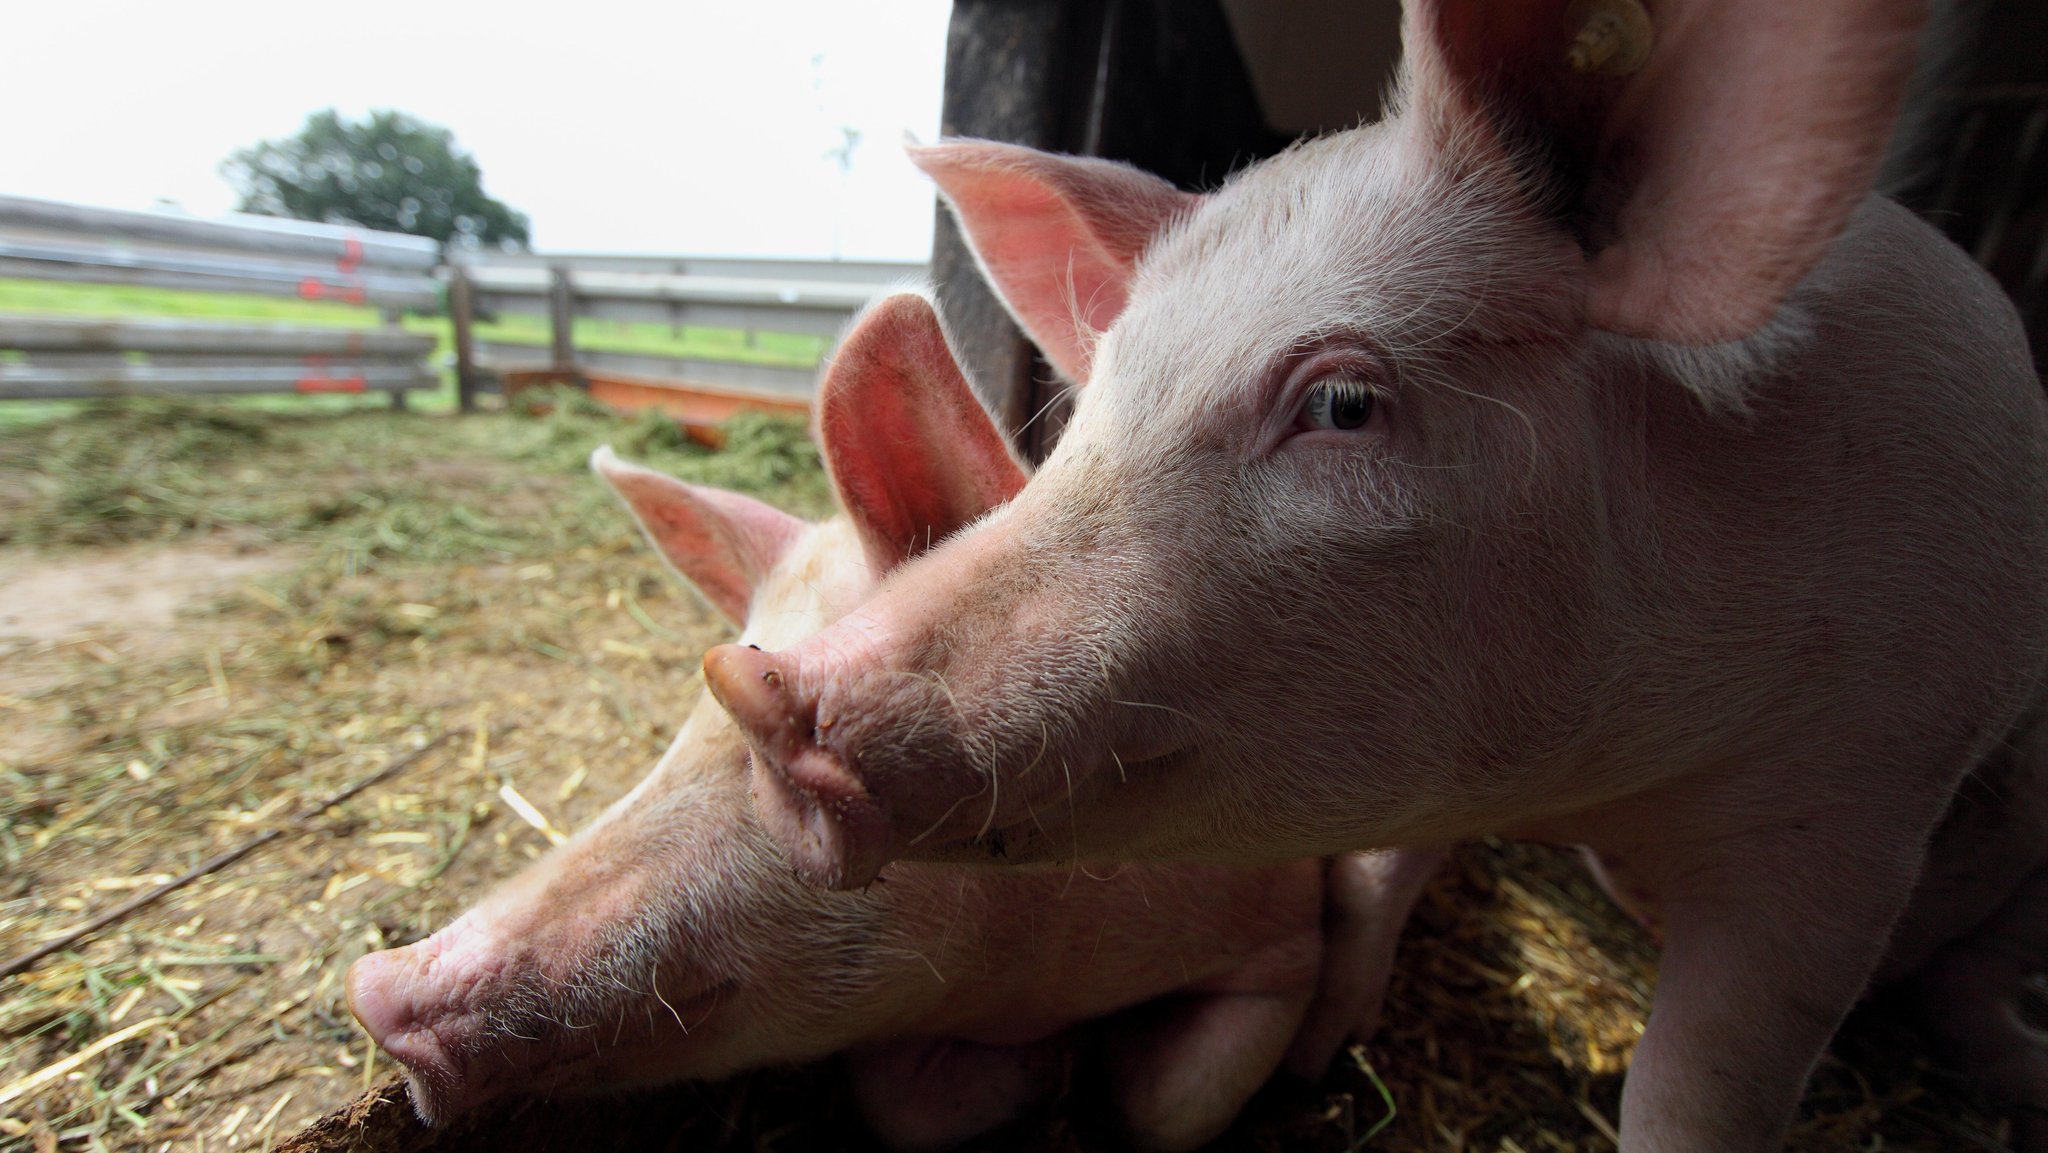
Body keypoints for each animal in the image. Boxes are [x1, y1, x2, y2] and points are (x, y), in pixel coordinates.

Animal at [348, 301, 1441, 1153]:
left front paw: (1081, 1068)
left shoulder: (1278, 932)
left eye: (768, 763)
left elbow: (1164, 1106)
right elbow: (895, 1106)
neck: (1020, 985)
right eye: (677, 728)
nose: (378, 989)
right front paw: (1045, 1068)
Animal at [704, 4, 2048, 1146]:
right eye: (1096, 400)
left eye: (1343, 403)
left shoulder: (1859, 802)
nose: (756, 682)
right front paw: (1313, 1063)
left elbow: (1698, 1086)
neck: (1597, 781)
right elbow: (1370, 884)